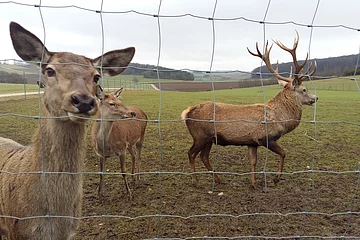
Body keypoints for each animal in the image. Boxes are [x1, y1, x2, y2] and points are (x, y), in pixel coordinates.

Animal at [181, 31, 316, 188]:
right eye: (304, 89)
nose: (315, 98)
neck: (280, 120)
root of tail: (187, 112)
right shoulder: (265, 137)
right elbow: (283, 153)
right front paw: (276, 178)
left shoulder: (252, 142)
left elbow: (253, 162)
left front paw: (253, 183)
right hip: (200, 136)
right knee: (191, 153)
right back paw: (196, 180)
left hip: (209, 138)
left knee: (204, 156)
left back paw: (218, 179)